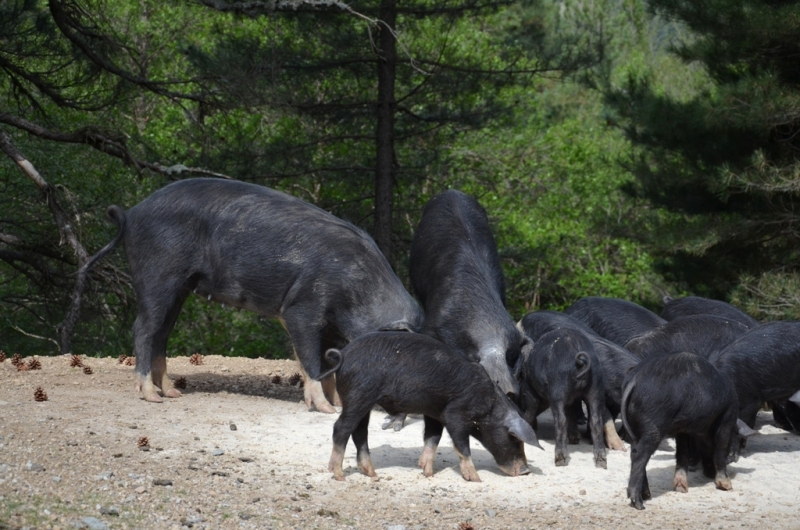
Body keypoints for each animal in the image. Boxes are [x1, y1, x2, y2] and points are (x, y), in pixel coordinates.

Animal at [79, 177, 424, 408]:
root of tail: (132, 213)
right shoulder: (301, 309)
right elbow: (311, 360)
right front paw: (326, 409)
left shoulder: (334, 330)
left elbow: (330, 368)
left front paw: (337, 404)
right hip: (157, 275)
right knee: (143, 328)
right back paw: (152, 397)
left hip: (180, 287)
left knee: (161, 334)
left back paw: (174, 392)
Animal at [318, 332, 544, 480]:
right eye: (515, 440)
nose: (526, 471)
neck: (488, 404)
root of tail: (344, 355)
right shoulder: (455, 414)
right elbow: (462, 445)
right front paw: (476, 479)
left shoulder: (436, 414)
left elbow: (433, 438)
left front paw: (427, 473)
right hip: (359, 395)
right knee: (341, 428)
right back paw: (339, 475)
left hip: (362, 400)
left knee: (359, 432)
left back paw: (373, 475)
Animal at [516, 328, 608, 468]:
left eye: (522, 395)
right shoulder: (573, 400)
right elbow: (572, 414)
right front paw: (575, 438)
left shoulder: (530, 392)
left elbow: (531, 409)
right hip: (596, 388)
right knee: (596, 421)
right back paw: (601, 462)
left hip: (557, 391)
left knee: (561, 420)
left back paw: (559, 460)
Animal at [620, 350, 756, 508]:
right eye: (731, 440)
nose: (709, 473)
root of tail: (635, 379)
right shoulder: (727, 418)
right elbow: (720, 450)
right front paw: (727, 486)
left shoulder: (682, 429)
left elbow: (682, 453)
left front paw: (681, 488)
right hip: (653, 426)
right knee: (639, 454)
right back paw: (639, 504)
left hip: (635, 426)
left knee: (635, 452)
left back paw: (647, 495)